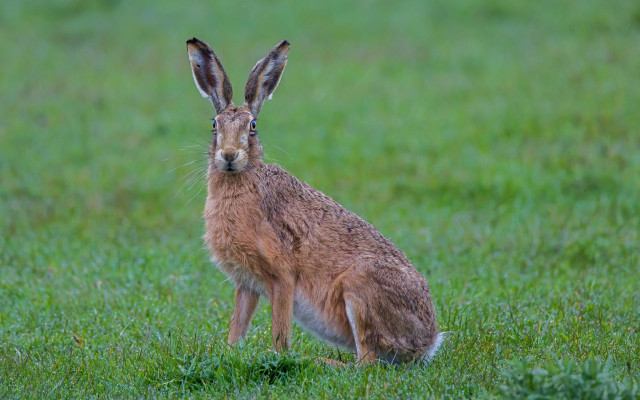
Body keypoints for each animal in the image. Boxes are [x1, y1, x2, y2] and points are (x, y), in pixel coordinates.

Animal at [186, 37, 444, 364]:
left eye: (253, 126)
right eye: (215, 125)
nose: (229, 155)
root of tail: (428, 341)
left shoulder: (282, 276)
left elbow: (280, 334)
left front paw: (278, 357)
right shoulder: (246, 284)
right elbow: (237, 325)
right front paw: (230, 353)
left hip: (360, 285)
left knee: (366, 362)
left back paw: (320, 362)